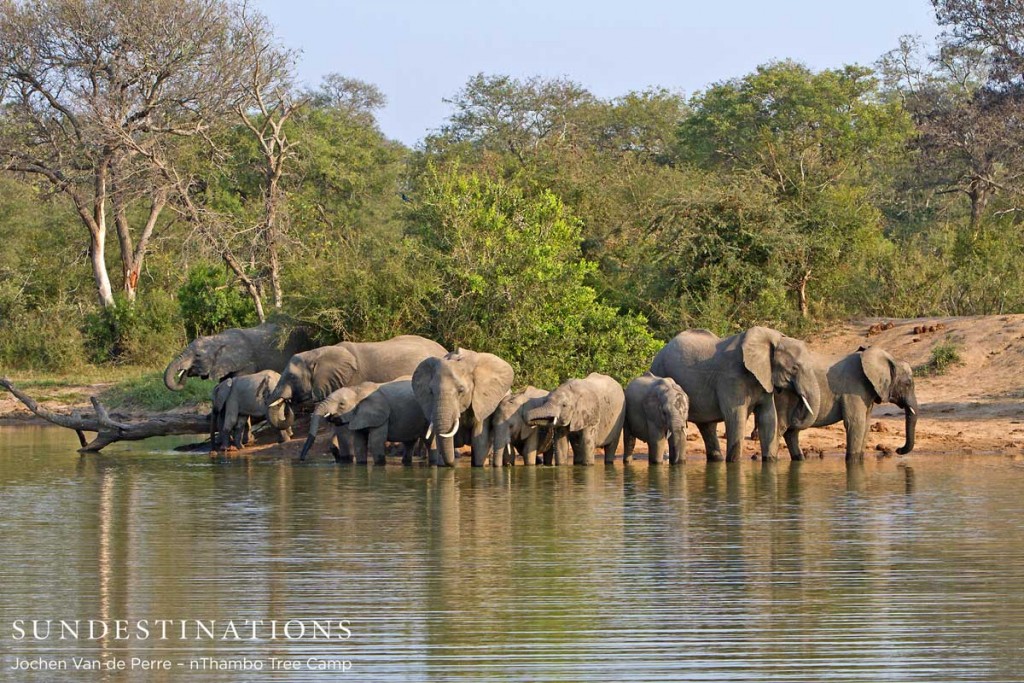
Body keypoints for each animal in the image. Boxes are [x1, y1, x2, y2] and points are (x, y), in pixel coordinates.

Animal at [647, 327, 823, 464]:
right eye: (794, 368)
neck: (772, 338)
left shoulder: (764, 378)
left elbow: (768, 418)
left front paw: (770, 462)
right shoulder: (731, 377)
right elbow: (735, 417)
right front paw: (734, 463)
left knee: (707, 426)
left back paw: (716, 459)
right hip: (661, 370)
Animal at [774, 344, 921, 462]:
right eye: (908, 384)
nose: (898, 450)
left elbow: (866, 424)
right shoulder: (854, 388)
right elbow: (855, 423)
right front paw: (853, 462)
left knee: (791, 432)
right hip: (782, 398)